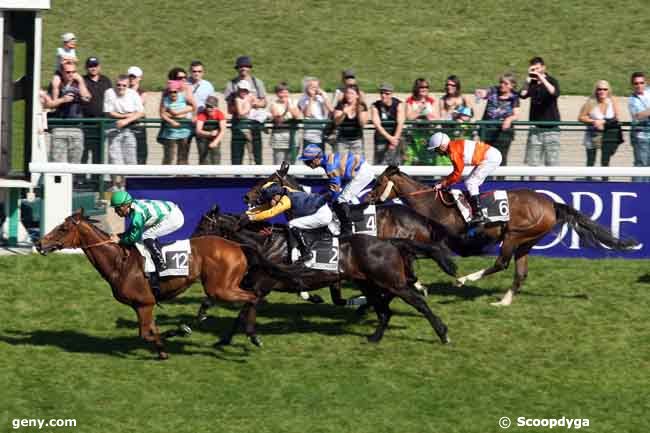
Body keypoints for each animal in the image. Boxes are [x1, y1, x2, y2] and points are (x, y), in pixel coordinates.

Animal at [34, 209, 298, 358]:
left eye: (63, 228)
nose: (39, 243)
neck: (120, 262)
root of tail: (238, 245)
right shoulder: (142, 306)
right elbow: (150, 332)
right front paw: (165, 348)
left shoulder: (145, 303)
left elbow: (146, 334)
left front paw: (174, 335)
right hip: (221, 286)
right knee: (242, 298)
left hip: (221, 288)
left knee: (253, 297)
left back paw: (251, 336)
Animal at [192, 206, 456, 344]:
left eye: (203, 225)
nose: (193, 243)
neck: (264, 245)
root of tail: (390, 241)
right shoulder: (252, 284)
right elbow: (231, 306)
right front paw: (220, 336)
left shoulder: (261, 285)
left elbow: (243, 311)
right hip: (369, 283)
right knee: (384, 311)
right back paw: (373, 336)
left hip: (392, 282)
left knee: (417, 302)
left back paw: (443, 333)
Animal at [364, 164, 636, 306]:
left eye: (378, 182)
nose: (367, 198)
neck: (431, 204)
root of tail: (551, 203)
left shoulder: (443, 241)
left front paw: (422, 284)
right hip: (528, 241)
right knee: (520, 272)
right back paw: (504, 301)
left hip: (515, 234)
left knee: (501, 263)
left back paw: (465, 280)